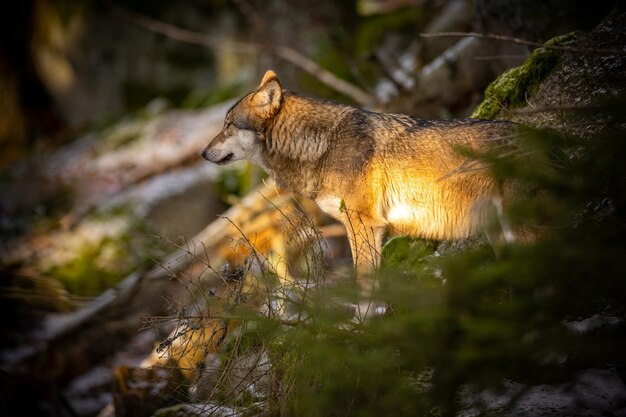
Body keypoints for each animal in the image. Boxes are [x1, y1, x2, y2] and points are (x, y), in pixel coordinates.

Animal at [202, 70, 516, 316]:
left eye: (229, 125)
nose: (203, 153)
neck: (321, 146)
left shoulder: (363, 223)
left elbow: (363, 283)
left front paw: (362, 324)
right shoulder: (363, 228)